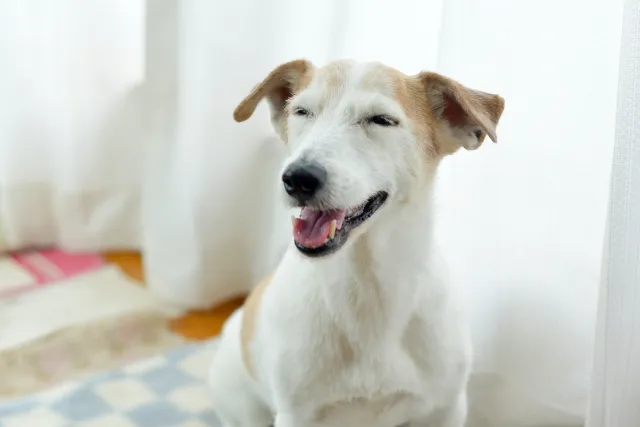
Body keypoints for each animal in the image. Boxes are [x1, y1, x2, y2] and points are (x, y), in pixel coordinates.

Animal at [210, 57, 504, 427]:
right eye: (301, 111)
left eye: (381, 120)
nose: (297, 178)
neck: (368, 284)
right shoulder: (295, 414)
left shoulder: (446, 407)